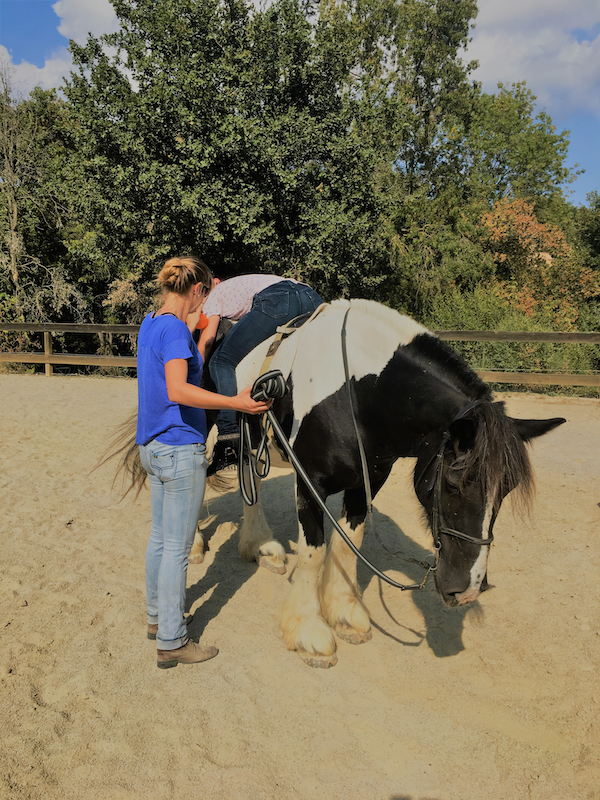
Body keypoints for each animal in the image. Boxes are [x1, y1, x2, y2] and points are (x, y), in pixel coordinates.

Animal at [116, 299, 565, 669]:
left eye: (505, 490)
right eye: (455, 483)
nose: (467, 590)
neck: (355, 391)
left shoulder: (367, 483)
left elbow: (350, 544)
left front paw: (346, 615)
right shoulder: (310, 483)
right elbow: (314, 555)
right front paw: (309, 633)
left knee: (247, 481)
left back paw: (262, 547)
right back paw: (195, 544)